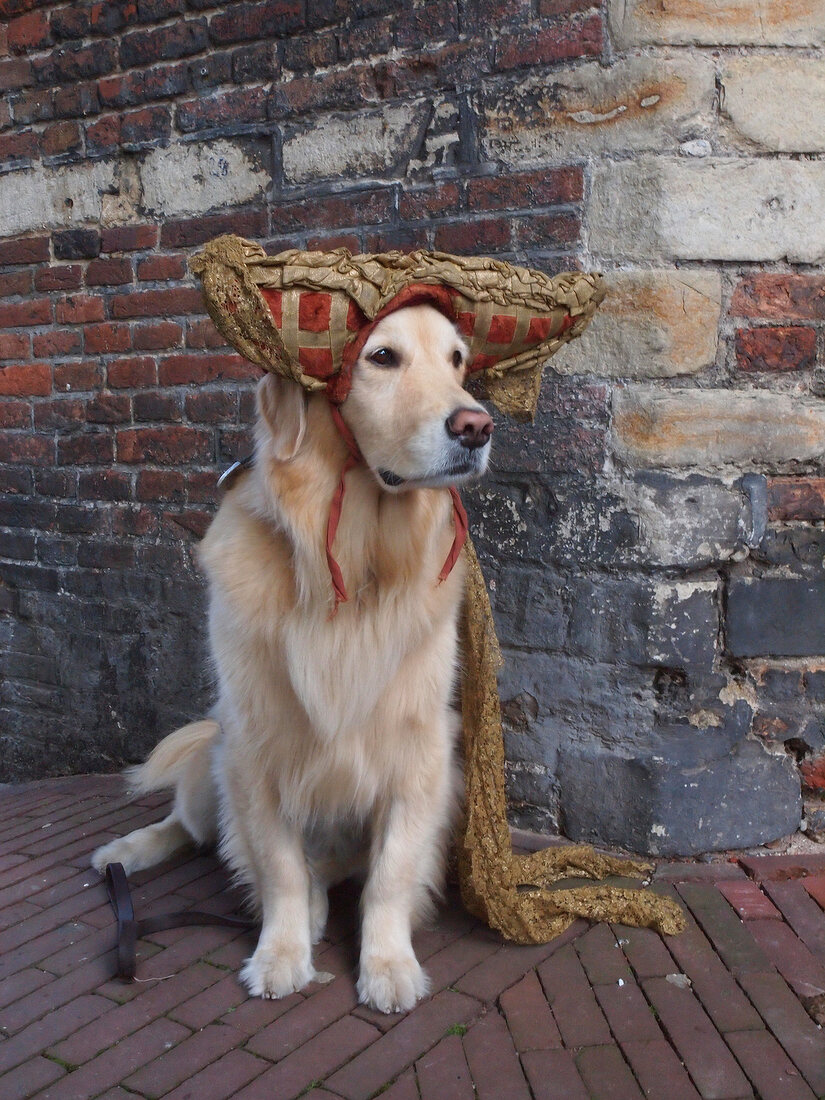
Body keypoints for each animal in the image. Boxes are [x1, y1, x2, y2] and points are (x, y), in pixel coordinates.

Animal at [91, 303, 490, 1012]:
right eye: (381, 357)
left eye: (457, 360)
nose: (477, 427)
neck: (354, 565)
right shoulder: (254, 750)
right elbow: (278, 867)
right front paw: (281, 953)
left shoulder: (421, 751)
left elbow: (390, 874)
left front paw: (388, 963)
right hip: (214, 762)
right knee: (185, 824)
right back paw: (126, 852)